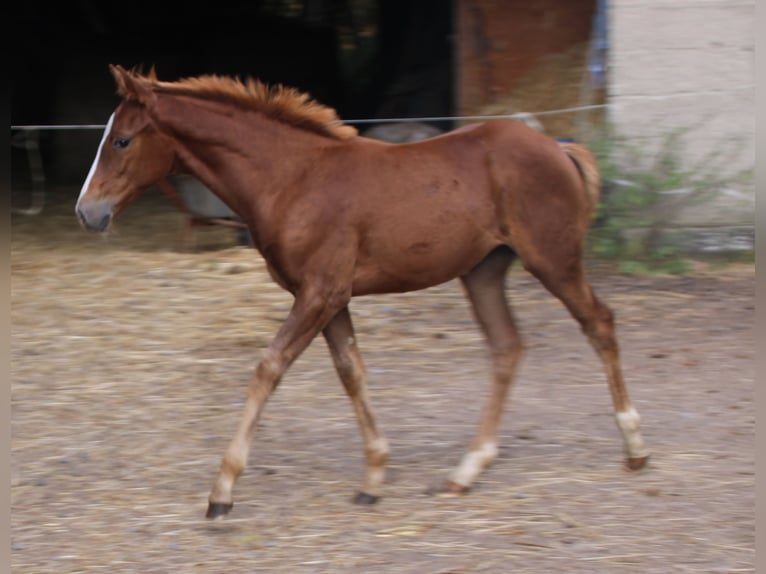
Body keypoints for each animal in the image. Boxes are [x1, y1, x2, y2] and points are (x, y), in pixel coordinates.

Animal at [76, 65, 648, 520]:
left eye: (122, 140)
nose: (87, 212)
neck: (293, 178)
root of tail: (558, 147)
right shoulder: (331, 298)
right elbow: (351, 372)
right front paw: (373, 477)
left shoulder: (319, 293)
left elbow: (267, 370)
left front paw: (222, 490)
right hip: (483, 271)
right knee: (507, 347)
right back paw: (466, 470)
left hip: (552, 259)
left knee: (599, 321)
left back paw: (635, 446)